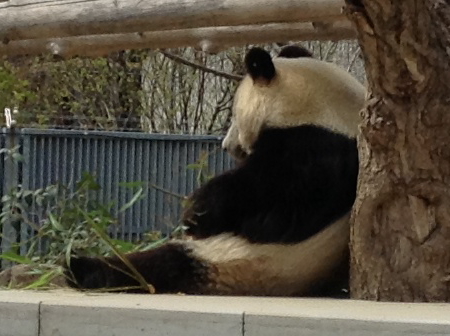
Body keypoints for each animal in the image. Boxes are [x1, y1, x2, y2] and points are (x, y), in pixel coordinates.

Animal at [64, 45, 366, 296]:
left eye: (233, 116)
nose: (227, 146)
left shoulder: (316, 152)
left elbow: (271, 200)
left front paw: (196, 210)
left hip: (236, 261)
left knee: (160, 266)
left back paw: (78, 268)